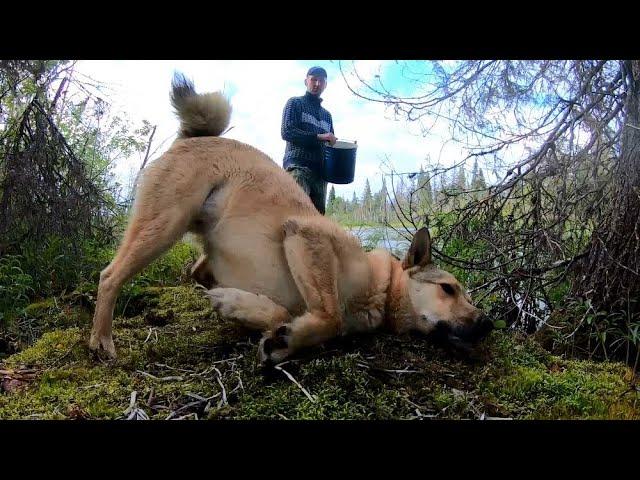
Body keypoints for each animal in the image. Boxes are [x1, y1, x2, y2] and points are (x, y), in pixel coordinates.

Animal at [87, 73, 492, 366]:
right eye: (448, 289)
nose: (487, 323)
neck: (380, 287)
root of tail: (195, 136)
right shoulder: (305, 236)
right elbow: (329, 316)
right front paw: (286, 335)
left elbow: (290, 314)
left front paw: (254, 316)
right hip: (164, 223)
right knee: (109, 276)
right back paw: (101, 340)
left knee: (196, 271)